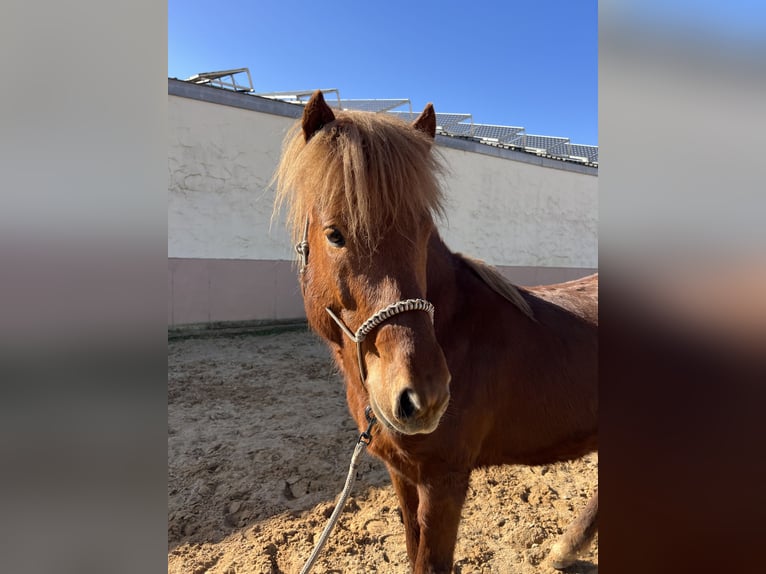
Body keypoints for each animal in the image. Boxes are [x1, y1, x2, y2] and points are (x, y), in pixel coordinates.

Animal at [274, 90, 598, 573]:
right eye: (334, 234)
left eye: (424, 232)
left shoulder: (444, 482)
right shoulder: (402, 475)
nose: (423, 398)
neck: (456, 330)